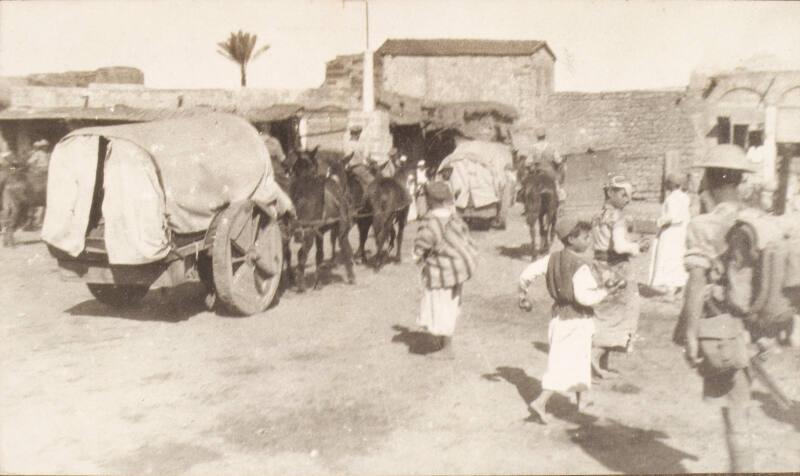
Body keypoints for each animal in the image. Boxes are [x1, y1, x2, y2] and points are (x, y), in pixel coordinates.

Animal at [284, 147, 354, 292]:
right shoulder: (342, 230)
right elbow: (346, 249)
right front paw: (351, 276)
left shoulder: (320, 232)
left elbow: (319, 255)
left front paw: (318, 282)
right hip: (308, 231)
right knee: (301, 254)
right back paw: (301, 285)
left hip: (288, 229)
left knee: (286, 252)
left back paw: (291, 278)